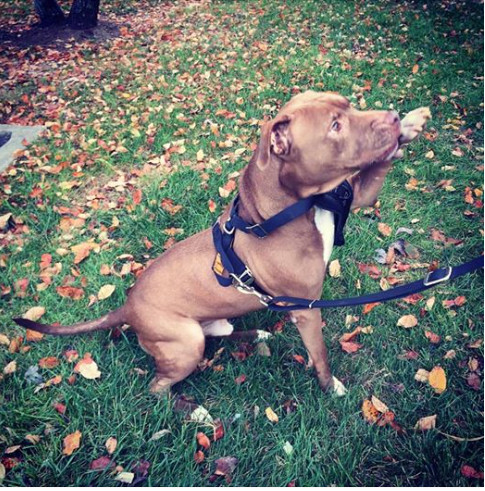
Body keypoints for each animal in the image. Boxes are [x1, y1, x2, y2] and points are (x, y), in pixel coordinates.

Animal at [14, 91, 428, 396]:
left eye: (349, 106)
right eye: (335, 126)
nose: (392, 116)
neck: (295, 206)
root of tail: (126, 308)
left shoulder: (353, 197)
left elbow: (376, 169)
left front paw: (409, 127)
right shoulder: (307, 308)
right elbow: (321, 356)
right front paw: (332, 388)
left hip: (203, 327)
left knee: (219, 333)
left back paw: (256, 334)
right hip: (183, 343)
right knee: (158, 386)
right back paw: (188, 412)